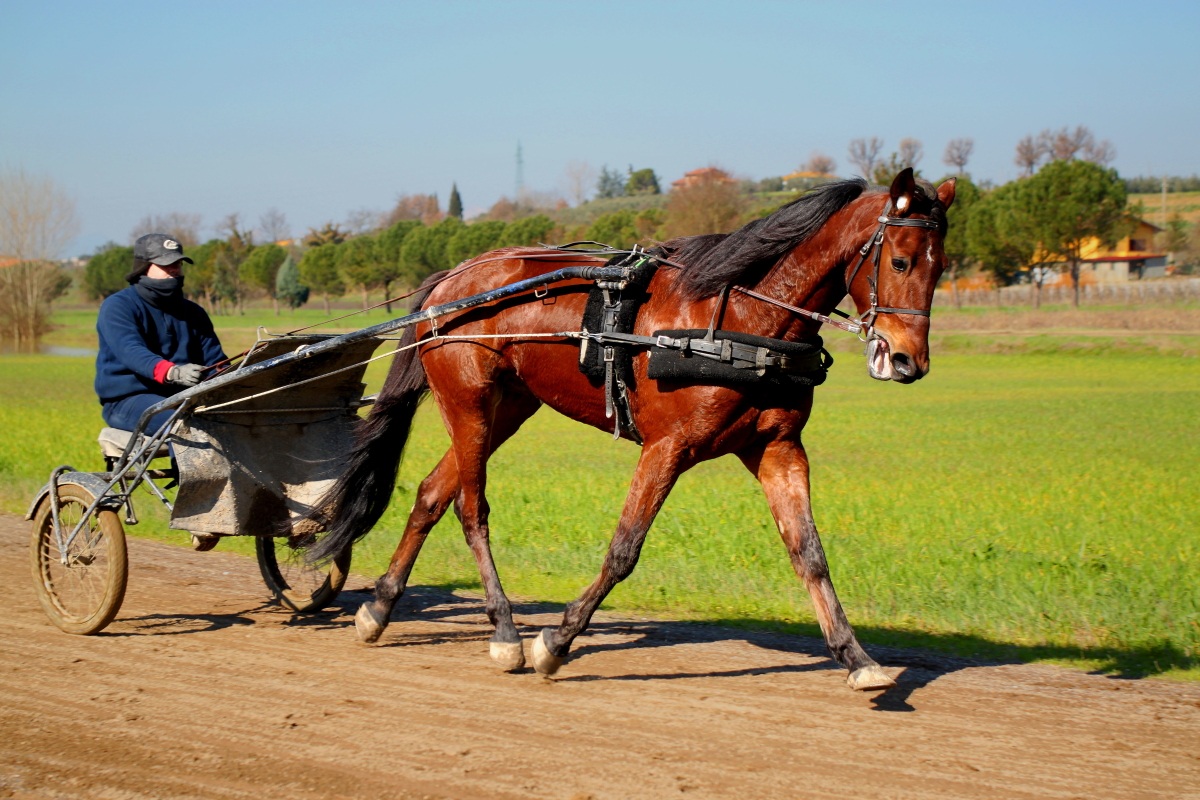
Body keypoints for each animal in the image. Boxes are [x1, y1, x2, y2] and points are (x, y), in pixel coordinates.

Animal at [307, 168, 955, 691]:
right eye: (899, 260)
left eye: (941, 266)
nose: (908, 361)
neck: (736, 321)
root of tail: (451, 281)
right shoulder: (669, 447)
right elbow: (624, 549)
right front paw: (556, 642)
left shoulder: (778, 449)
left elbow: (810, 555)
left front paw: (857, 658)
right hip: (469, 402)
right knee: (471, 508)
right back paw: (506, 631)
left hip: (507, 409)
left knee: (430, 495)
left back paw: (379, 608)